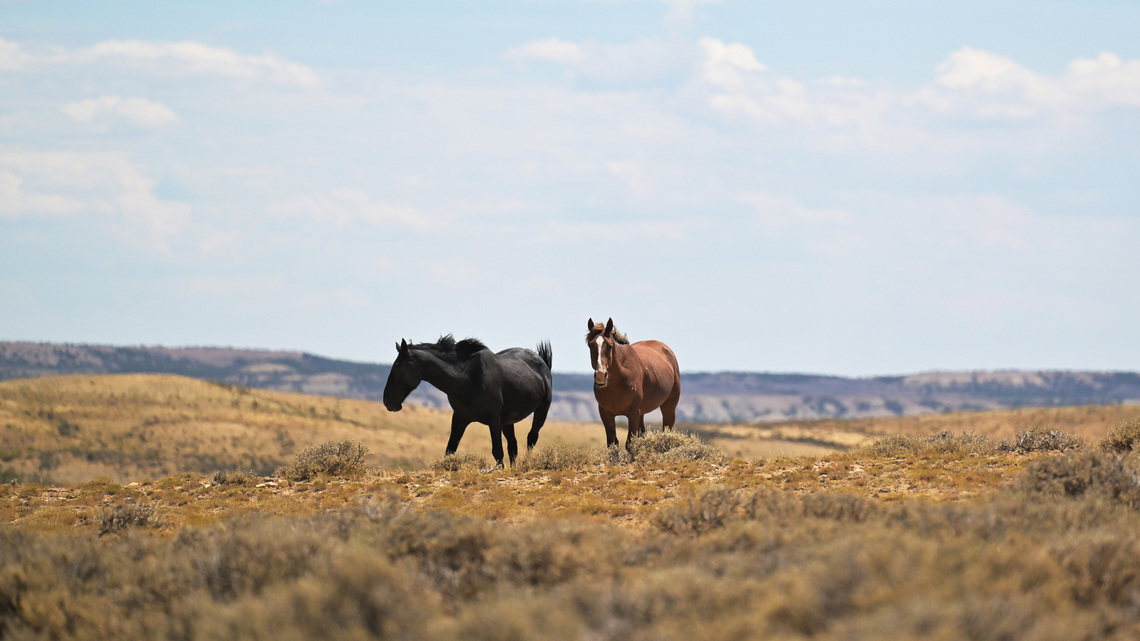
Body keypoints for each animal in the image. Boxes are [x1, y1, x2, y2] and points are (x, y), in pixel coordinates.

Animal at [383, 335, 553, 469]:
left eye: (397, 367)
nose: (387, 402)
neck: (467, 378)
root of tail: (541, 360)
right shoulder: (460, 417)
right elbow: (450, 449)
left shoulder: (493, 419)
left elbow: (497, 452)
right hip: (507, 421)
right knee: (513, 446)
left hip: (541, 411)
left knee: (531, 438)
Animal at [586, 318, 681, 450]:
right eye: (590, 345)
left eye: (609, 346)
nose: (600, 375)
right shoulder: (606, 413)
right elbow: (612, 443)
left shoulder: (633, 414)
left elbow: (629, 444)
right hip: (642, 413)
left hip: (669, 407)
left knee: (667, 431)